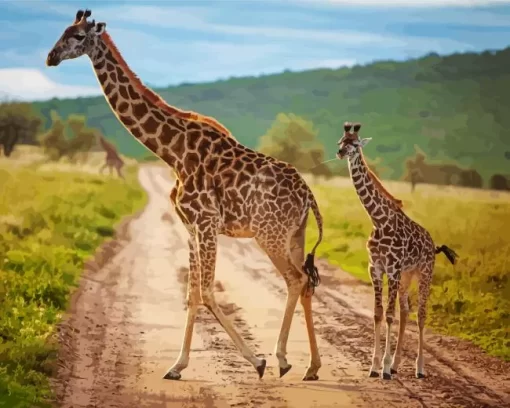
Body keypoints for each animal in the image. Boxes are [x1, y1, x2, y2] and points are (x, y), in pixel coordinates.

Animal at [47, 9, 324, 382]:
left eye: (77, 36)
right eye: (62, 31)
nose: (50, 57)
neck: (173, 152)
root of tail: (309, 195)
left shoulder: (206, 222)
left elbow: (206, 290)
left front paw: (257, 361)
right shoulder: (190, 226)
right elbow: (192, 293)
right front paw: (177, 365)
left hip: (270, 235)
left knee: (295, 279)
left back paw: (281, 358)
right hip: (295, 235)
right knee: (307, 282)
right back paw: (312, 367)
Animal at [336, 121, 456, 380]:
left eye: (355, 143)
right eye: (341, 141)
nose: (340, 152)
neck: (379, 220)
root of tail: (433, 244)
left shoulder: (391, 269)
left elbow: (389, 314)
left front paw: (384, 367)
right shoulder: (375, 268)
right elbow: (378, 313)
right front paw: (375, 366)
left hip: (424, 273)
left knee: (420, 314)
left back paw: (419, 368)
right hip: (406, 276)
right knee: (406, 311)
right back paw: (397, 364)